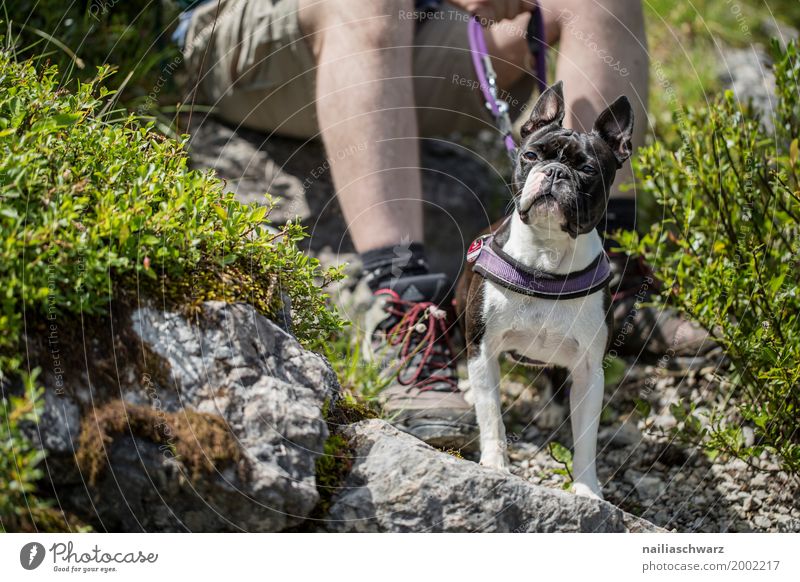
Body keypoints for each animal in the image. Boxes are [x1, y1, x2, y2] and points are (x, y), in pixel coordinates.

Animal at [456, 81, 636, 502]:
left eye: (587, 169)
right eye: (531, 155)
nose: (554, 171)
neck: (546, 259)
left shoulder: (589, 371)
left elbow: (586, 438)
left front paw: (587, 489)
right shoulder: (483, 349)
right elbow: (492, 415)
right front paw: (495, 465)